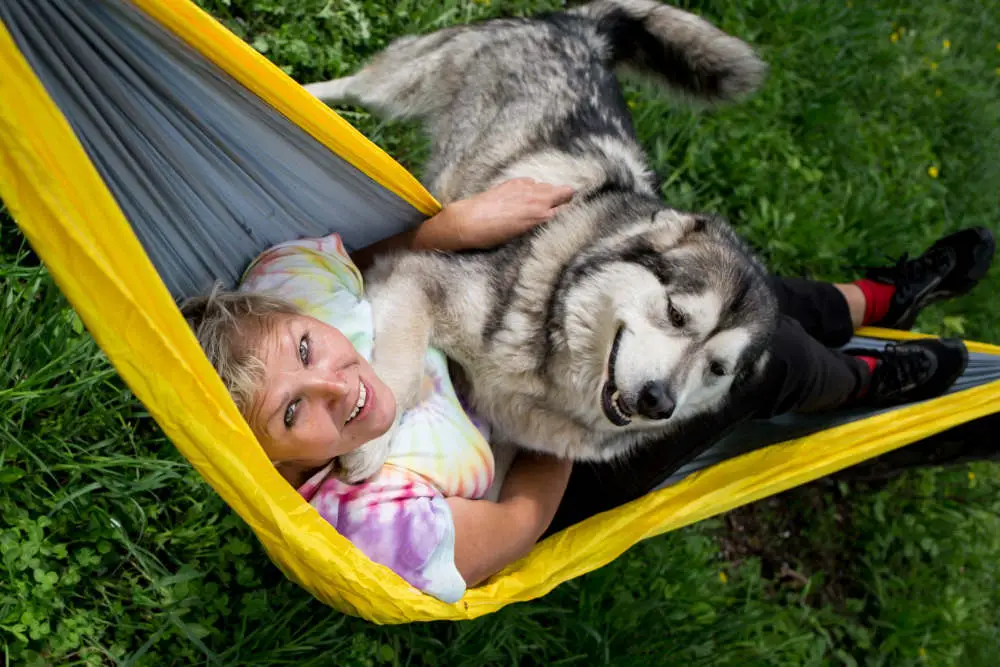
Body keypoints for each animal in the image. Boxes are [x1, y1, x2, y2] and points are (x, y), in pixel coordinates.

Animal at [304, 0, 780, 480]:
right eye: (676, 315)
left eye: (717, 368)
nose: (658, 401)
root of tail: (586, 30)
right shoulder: (417, 276)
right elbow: (400, 376)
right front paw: (373, 441)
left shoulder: (511, 435)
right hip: (401, 83)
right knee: (353, 86)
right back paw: (303, 93)